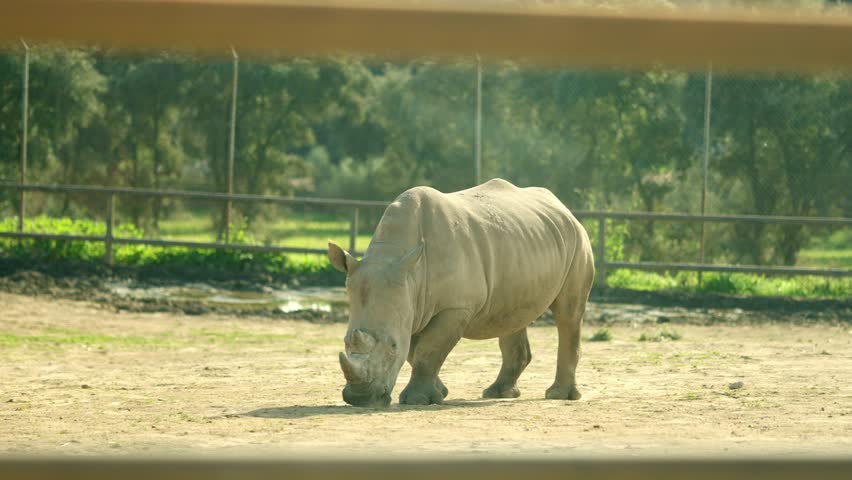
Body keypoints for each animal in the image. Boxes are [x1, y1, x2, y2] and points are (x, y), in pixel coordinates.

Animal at [327, 178, 595, 407]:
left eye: (392, 346)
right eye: (346, 341)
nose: (360, 399)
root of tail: (563, 208)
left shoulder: (455, 307)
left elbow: (428, 350)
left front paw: (418, 400)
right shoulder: (412, 303)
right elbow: (415, 351)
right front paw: (440, 393)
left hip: (578, 241)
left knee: (568, 314)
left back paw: (559, 396)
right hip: (525, 244)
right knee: (513, 315)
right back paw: (497, 393)